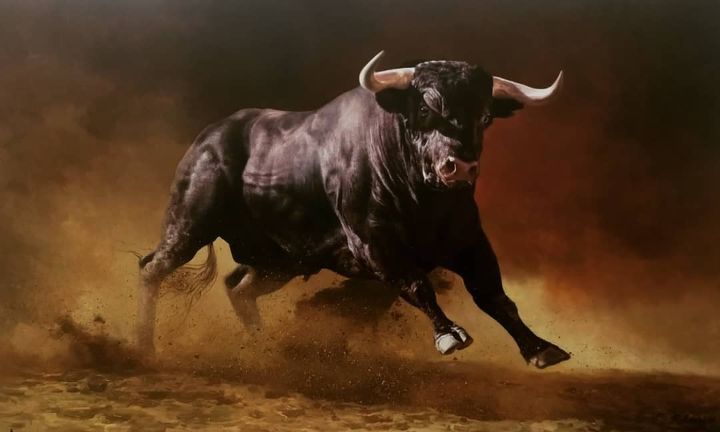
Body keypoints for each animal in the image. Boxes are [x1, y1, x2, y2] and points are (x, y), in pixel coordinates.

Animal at [137, 50, 571, 369]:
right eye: (425, 110)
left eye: (484, 117)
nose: (460, 167)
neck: (424, 200)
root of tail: (207, 138)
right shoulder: (374, 245)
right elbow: (418, 285)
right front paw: (449, 334)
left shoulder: (470, 241)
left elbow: (494, 295)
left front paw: (541, 348)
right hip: (189, 224)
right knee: (152, 269)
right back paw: (144, 347)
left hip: (282, 260)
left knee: (239, 287)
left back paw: (264, 350)